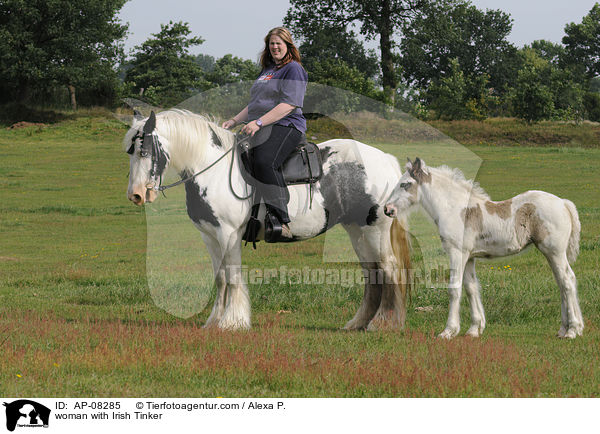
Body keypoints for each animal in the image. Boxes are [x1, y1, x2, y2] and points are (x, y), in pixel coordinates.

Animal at [124, 110, 410, 330]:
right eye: (130, 152)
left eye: (145, 151)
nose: (136, 195)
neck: (212, 170)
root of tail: (385, 160)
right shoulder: (210, 236)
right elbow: (220, 277)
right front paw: (214, 322)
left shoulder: (229, 234)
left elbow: (232, 277)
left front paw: (232, 322)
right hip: (357, 230)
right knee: (371, 273)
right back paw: (358, 323)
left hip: (375, 230)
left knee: (388, 269)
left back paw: (383, 323)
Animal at [384, 159, 580, 340]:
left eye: (405, 184)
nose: (387, 209)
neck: (455, 209)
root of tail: (563, 203)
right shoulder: (469, 257)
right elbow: (471, 288)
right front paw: (474, 329)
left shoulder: (457, 253)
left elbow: (454, 289)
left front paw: (448, 331)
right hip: (552, 254)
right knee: (562, 283)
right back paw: (563, 329)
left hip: (554, 252)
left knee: (567, 281)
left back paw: (572, 330)